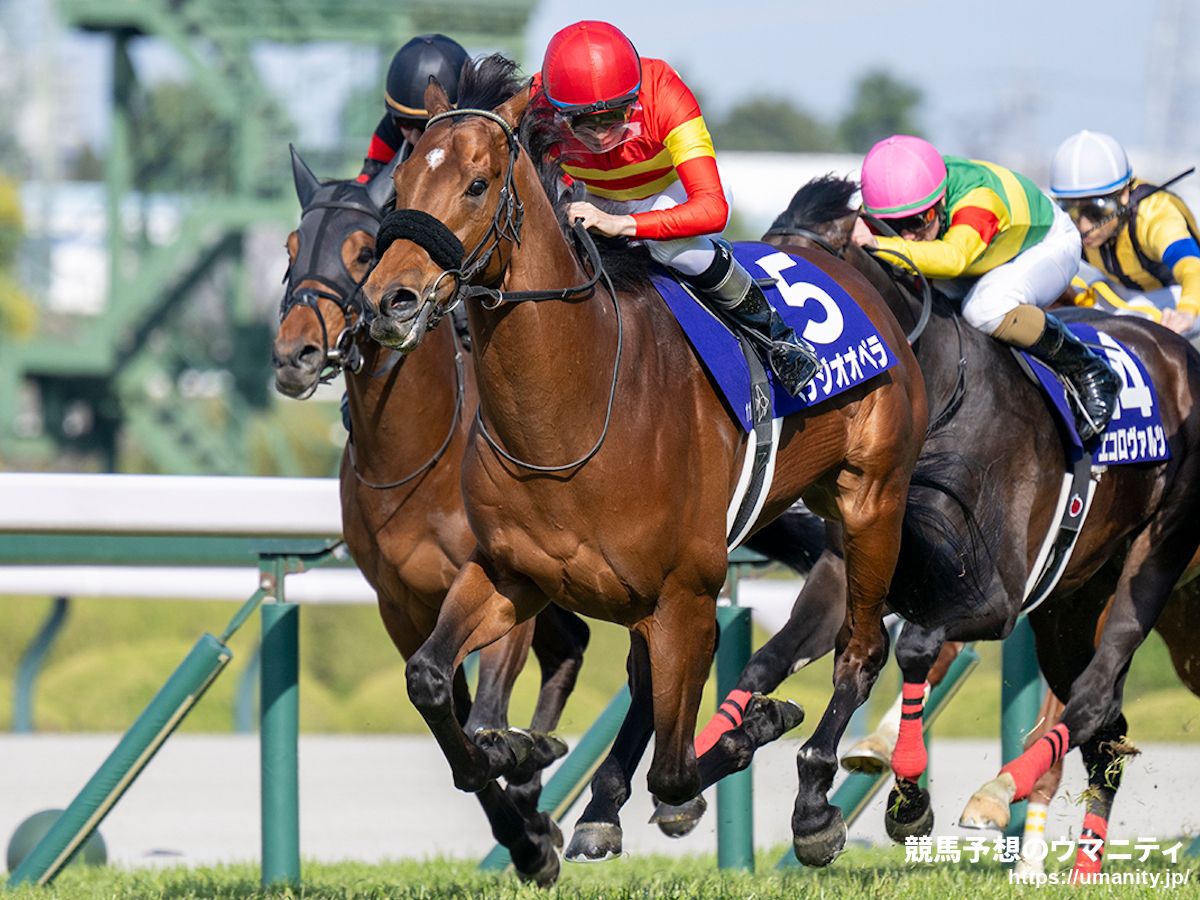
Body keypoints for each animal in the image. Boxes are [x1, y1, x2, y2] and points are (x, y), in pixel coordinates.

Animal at [270, 147, 592, 883]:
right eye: (291, 248)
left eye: (363, 252)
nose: (295, 354)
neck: (415, 453)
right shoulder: (402, 603)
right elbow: (451, 715)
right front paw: (527, 831)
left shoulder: (502, 579)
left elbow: (486, 708)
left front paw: (527, 803)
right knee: (570, 644)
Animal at [361, 55, 927, 872]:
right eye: (400, 185)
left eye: (476, 183)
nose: (389, 302)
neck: (571, 412)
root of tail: (851, 269)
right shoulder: (509, 574)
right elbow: (432, 683)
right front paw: (512, 770)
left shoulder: (688, 593)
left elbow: (676, 768)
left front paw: (755, 728)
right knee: (642, 679)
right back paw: (599, 805)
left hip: (871, 498)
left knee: (860, 646)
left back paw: (815, 804)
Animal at [694, 174, 1200, 869]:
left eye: (782, 288)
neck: (939, 400)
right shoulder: (849, 564)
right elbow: (772, 659)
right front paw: (727, 757)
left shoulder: (998, 597)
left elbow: (914, 646)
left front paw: (903, 796)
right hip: (1070, 604)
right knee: (1105, 727)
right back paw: (1082, 866)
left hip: (1153, 558)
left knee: (1097, 693)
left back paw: (1001, 789)